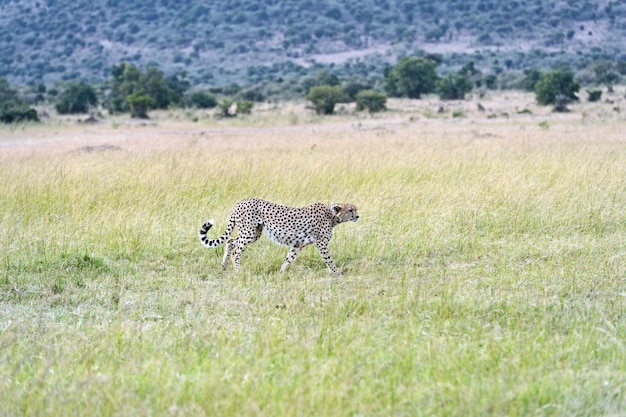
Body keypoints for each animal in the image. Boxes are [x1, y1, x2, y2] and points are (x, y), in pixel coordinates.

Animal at [197, 199, 358, 276]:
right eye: (350, 210)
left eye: (356, 209)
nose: (357, 216)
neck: (332, 216)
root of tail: (240, 202)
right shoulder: (321, 244)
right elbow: (330, 260)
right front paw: (338, 275)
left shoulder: (298, 244)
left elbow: (289, 259)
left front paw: (281, 273)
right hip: (248, 233)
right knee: (236, 251)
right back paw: (238, 271)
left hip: (253, 234)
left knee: (230, 242)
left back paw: (223, 266)